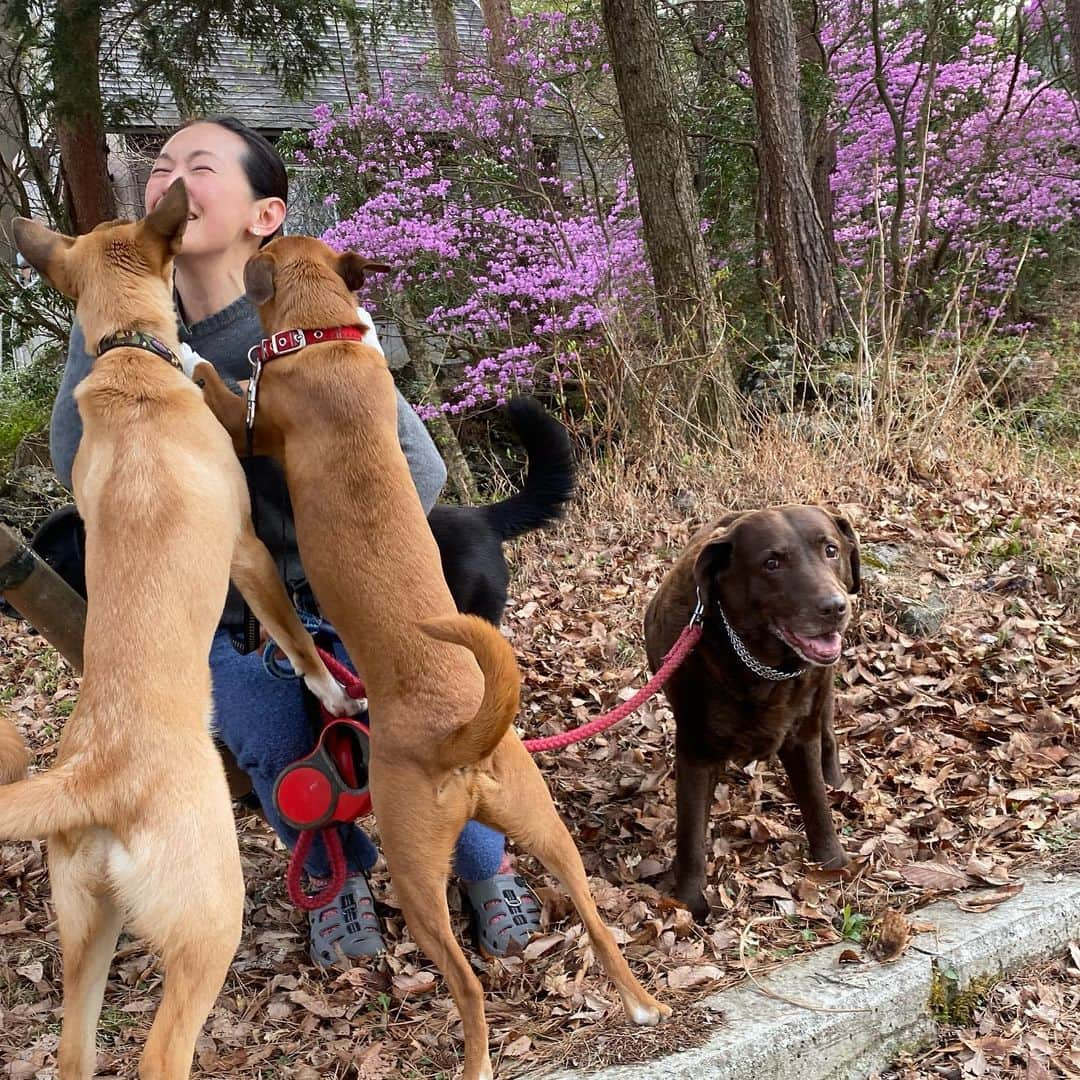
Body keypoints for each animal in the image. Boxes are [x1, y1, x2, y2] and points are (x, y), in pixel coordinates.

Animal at [4, 185, 356, 1080]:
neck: (130, 359)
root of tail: (94, 776)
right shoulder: (247, 550)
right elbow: (296, 642)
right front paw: (333, 690)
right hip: (208, 923)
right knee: (163, 1053)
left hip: (85, 931)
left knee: (74, 1054)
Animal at [193, 236, 665, 1080]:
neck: (324, 337)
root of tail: (458, 736)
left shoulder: (252, 427)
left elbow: (224, 390)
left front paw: (188, 357)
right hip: (549, 834)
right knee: (597, 923)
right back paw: (643, 1004)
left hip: (415, 879)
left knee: (469, 985)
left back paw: (475, 1060)